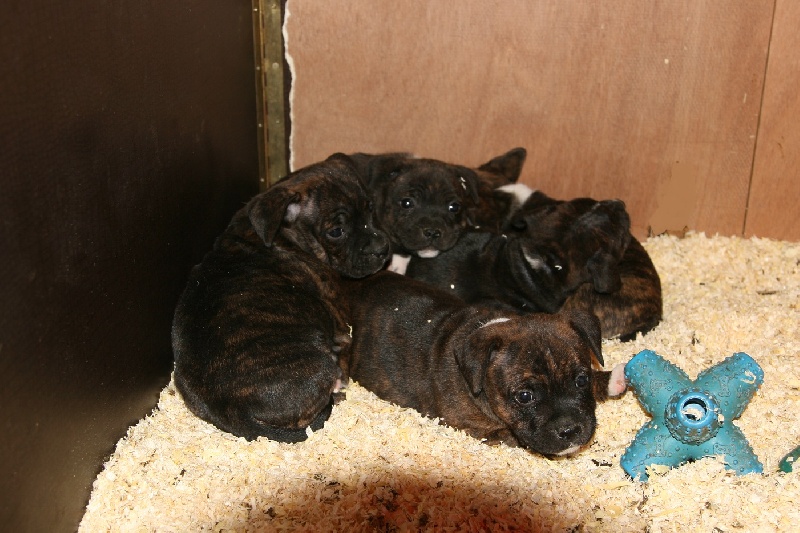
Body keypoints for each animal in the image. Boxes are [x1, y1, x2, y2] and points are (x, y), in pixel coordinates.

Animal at [172, 154, 390, 440]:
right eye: (336, 232)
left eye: (370, 208)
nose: (383, 249)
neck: (283, 235)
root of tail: (237, 412)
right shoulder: (340, 321)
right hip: (320, 365)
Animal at [342, 272, 624, 456]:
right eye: (524, 396)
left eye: (582, 380)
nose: (570, 430)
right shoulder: (474, 428)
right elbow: (513, 436)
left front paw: (614, 378)